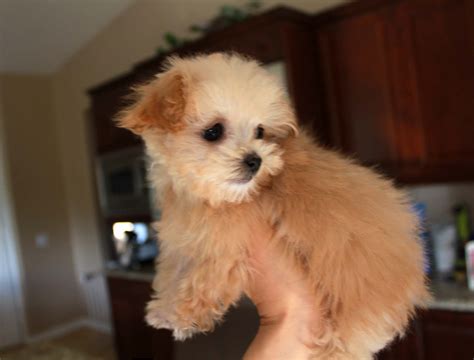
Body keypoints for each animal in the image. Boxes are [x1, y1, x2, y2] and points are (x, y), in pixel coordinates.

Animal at [118, 52, 430, 358]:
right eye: (213, 131)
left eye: (259, 131)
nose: (254, 160)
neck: (205, 195)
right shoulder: (186, 238)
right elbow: (173, 272)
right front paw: (162, 310)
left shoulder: (224, 250)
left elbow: (201, 285)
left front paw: (183, 318)